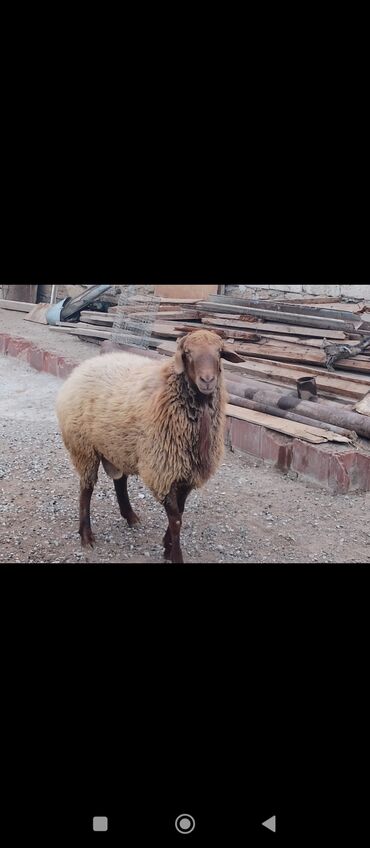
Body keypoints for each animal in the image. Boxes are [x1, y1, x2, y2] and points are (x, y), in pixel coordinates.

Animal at [56, 332, 243, 564]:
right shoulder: (163, 471)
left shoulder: (187, 473)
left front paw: (167, 546)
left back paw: (130, 516)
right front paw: (175, 555)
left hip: (119, 447)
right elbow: (176, 519)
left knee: (120, 482)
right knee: (86, 489)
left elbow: (181, 512)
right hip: (84, 448)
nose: (207, 380)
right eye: (187, 352)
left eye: (219, 352)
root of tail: (83, 367)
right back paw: (86, 535)